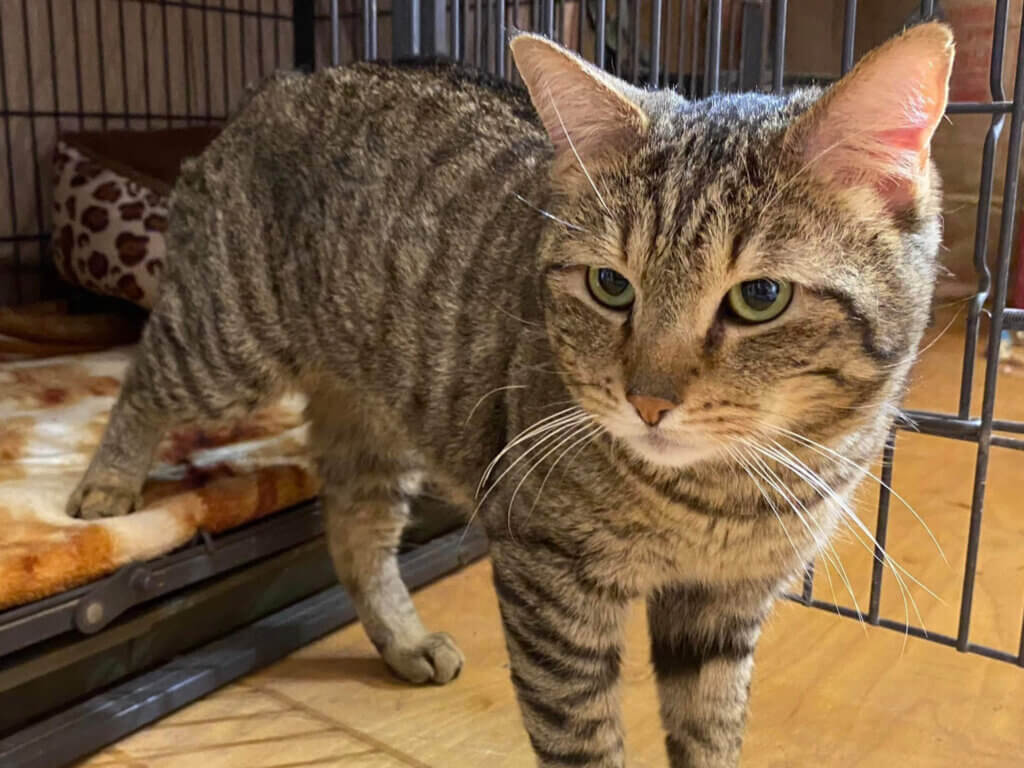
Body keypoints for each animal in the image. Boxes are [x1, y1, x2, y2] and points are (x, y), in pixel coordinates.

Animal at [68, 22, 954, 768]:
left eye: (760, 297)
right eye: (609, 286)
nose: (648, 402)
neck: (721, 497)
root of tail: (289, 78)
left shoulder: (723, 610)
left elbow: (710, 733)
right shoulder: (550, 578)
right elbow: (581, 737)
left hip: (372, 421)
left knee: (354, 531)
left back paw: (402, 638)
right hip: (227, 342)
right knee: (146, 381)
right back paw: (105, 488)